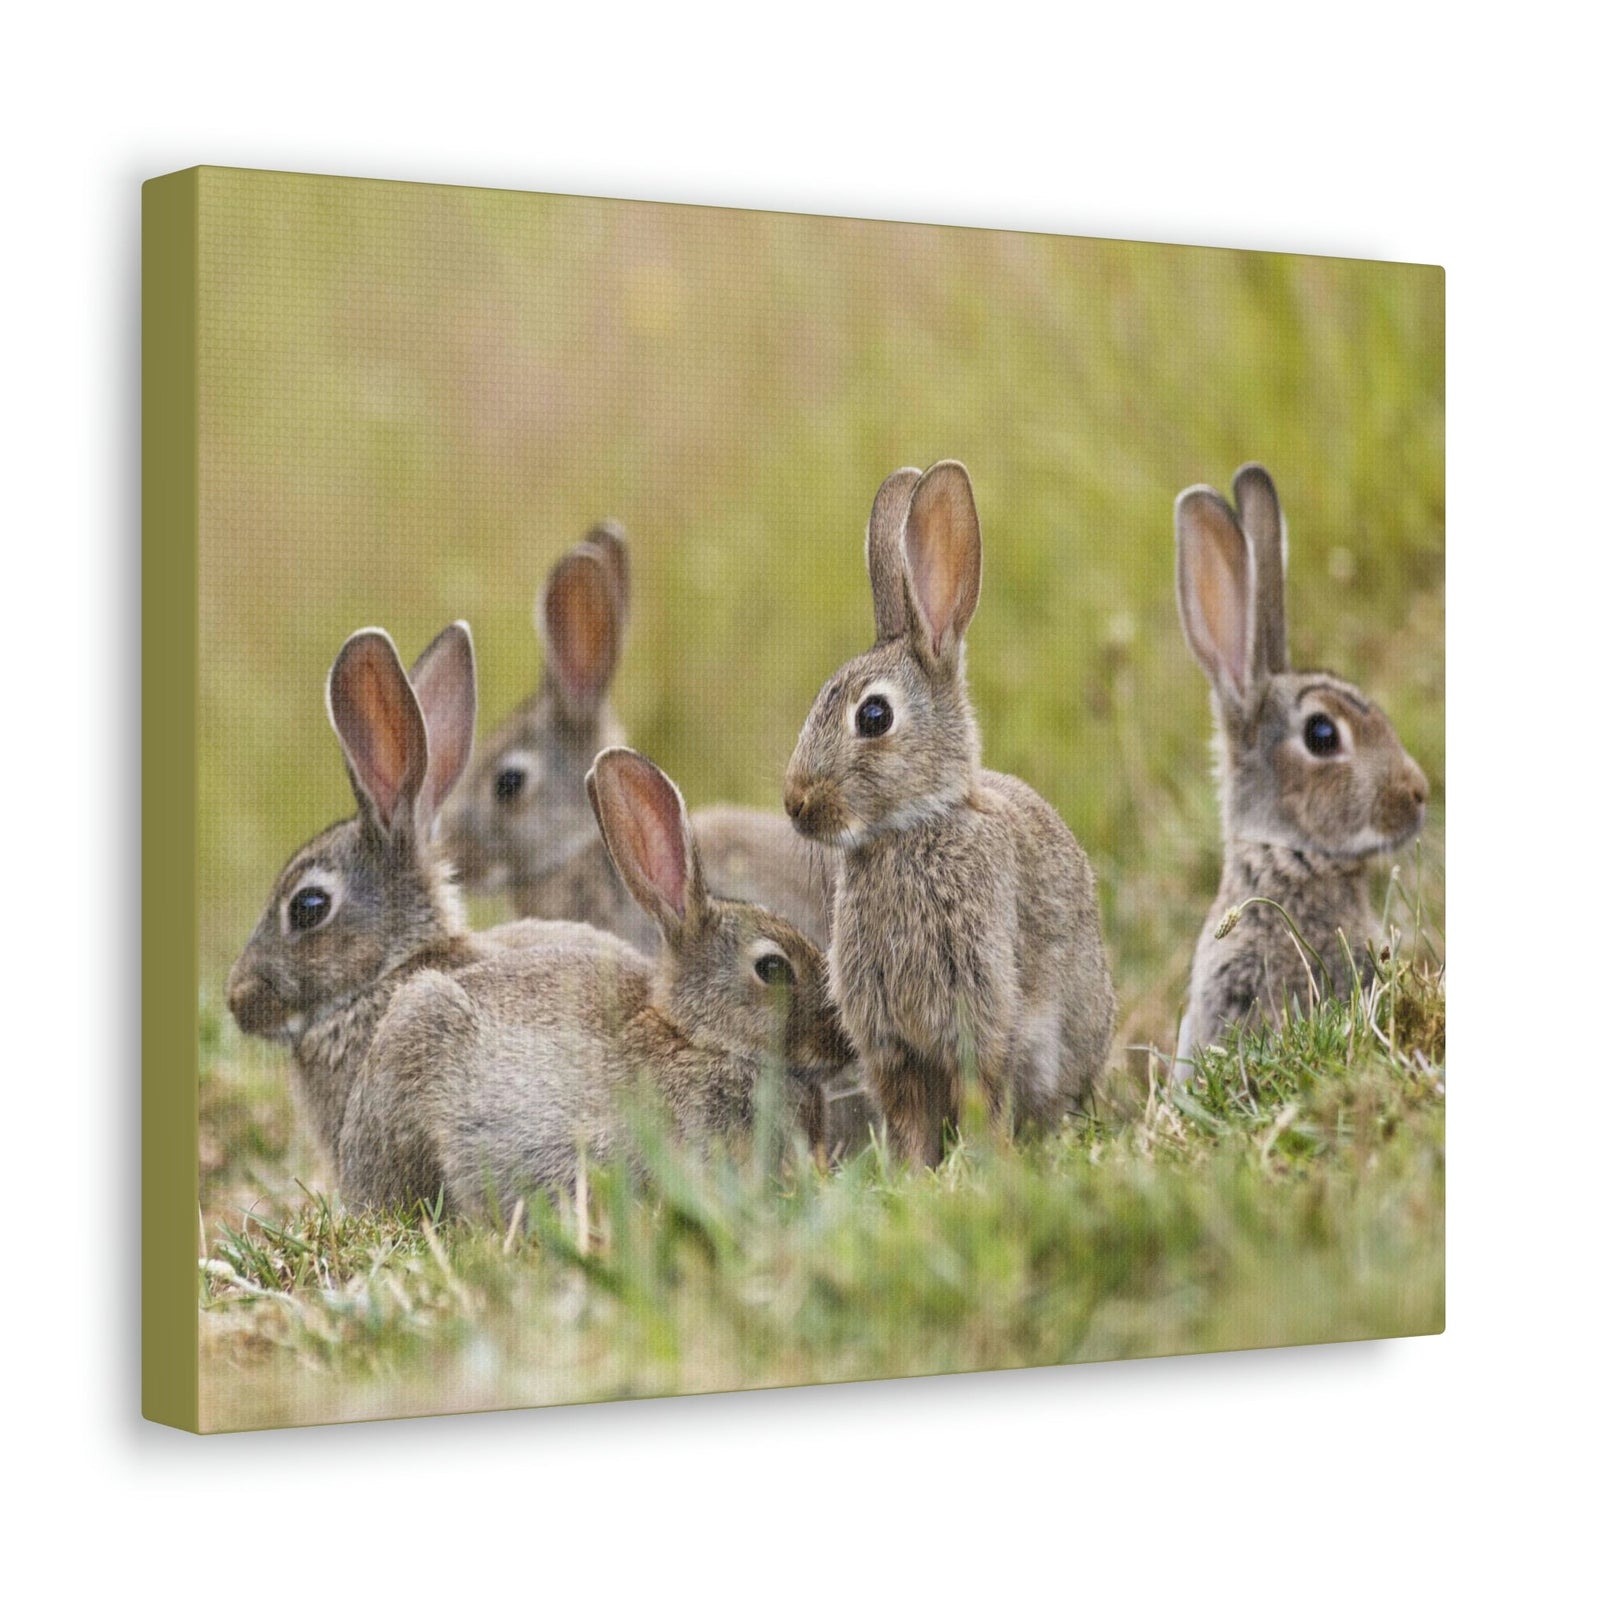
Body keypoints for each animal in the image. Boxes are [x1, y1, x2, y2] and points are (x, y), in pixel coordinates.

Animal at [783, 462, 1116, 1167]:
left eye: (873, 716)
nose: (796, 804)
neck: (911, 828)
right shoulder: (892, 1045)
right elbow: (911, 1117)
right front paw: (916, 1173)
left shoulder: (978, 1013)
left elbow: (980, 1093)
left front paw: (986, 1166)